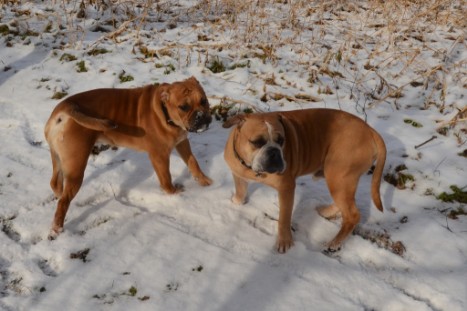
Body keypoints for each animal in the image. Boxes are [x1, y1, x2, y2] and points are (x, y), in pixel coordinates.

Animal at [44, 77, 213, 240]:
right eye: (183, 107)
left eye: (203, 100)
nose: (201, 116)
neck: (165, 113)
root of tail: (65, 108)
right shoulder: (159, 155)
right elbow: (166, 178)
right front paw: (173, 194)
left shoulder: (182, 143)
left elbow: (193, 163)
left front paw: (205, 181)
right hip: (76, 165)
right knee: (64, 201)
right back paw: (56, 230)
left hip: (58, 158)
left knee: (55, 183)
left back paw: (58, 197)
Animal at [223, 109, 388, 254]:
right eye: (257, 142)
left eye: (281, 140)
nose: (274, 151)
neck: (250, 168)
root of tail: (370, 130)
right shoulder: (238, 174)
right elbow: (240, 191)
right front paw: (236, 202)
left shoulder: (286, 188)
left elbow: (284, 218)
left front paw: (285, 242)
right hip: (341, 181)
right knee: (345, 204)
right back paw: (326, 212)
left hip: (338, 176)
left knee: (352, 215)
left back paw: (333, 244)